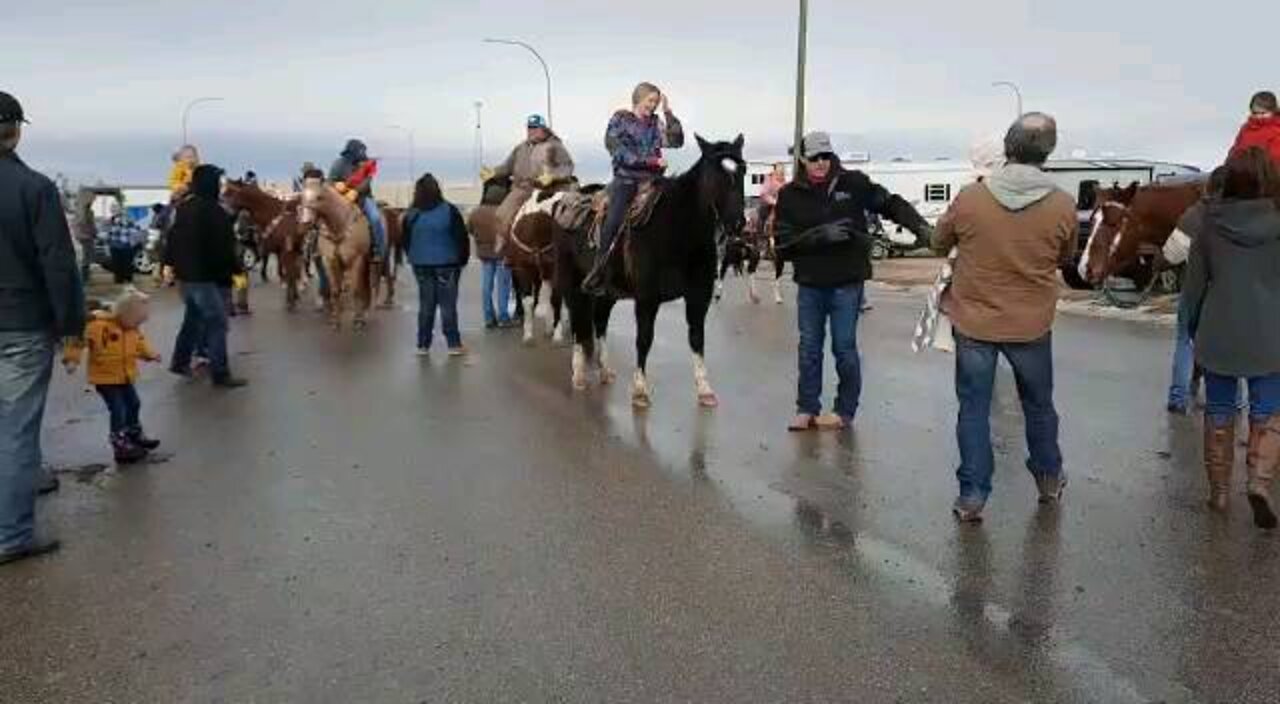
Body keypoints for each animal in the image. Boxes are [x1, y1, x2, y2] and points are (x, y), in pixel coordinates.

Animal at [222, 181, 304, 312]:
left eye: (230, 192)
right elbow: (289, 272)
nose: (225, 212)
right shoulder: (290, 250)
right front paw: (293, 296)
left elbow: (290, 273)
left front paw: (290, 301)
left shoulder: (286, 251)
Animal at [300, 176, 373, 330]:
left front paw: (358, 319)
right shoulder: (330, 261)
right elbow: (335, 290)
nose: (305, 222)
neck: (339, 227)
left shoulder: (357, 260)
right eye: (302, 196)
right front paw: (335, 320)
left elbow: (356, 290)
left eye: (319, 197)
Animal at [555, 135, 747, 409]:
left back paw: (605, 370)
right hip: (573, 285)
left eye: (743, 171)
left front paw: (705, 389)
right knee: (578, 325)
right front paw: (640, 391)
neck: (678, 230)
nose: (737, 223)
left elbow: (697, 338)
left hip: (608, 292)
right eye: (715, 174)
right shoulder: (647, 299)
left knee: (599, 322)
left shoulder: (699, 296)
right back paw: (579, 375)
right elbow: (644, 339)